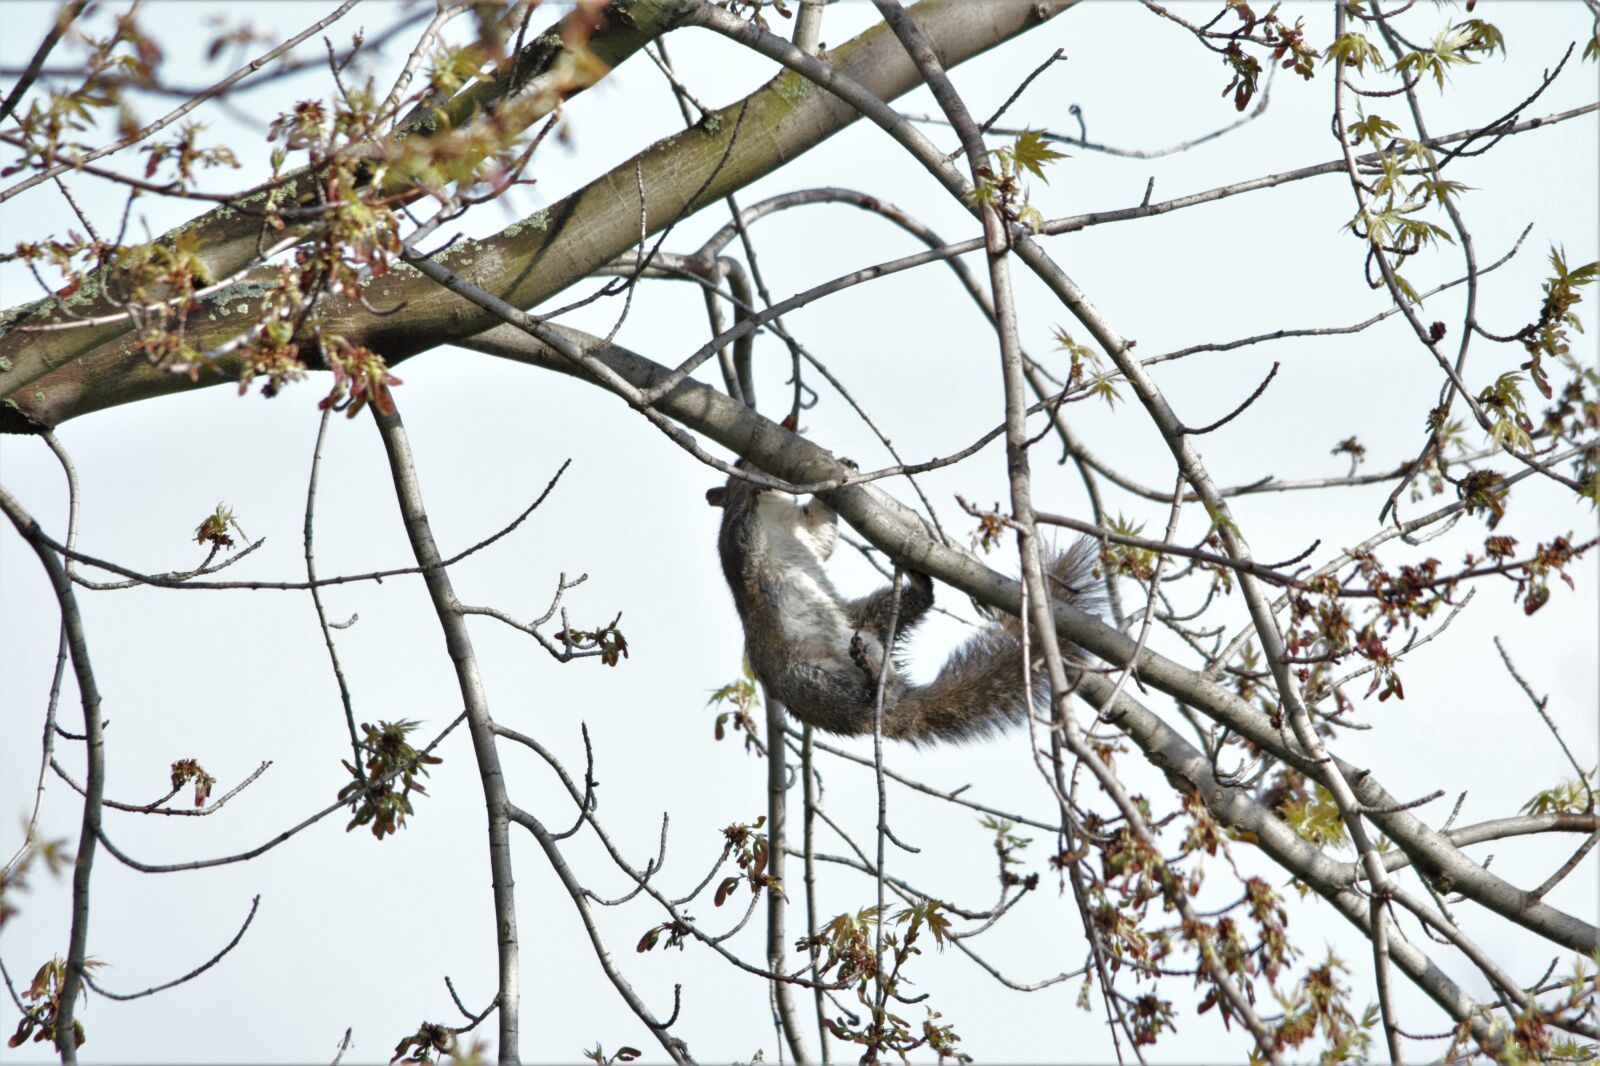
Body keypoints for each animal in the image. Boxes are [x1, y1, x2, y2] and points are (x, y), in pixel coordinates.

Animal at [707, 466, 1099, 744]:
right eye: (737, 465)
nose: (765, 475)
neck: (776, 517)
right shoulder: (738, 555)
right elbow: (743, 539)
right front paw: (747, 490)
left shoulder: (807, 534)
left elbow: (822, 531)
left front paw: (840, 472)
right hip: (811, 681)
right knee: (860, 697)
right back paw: (874, 679)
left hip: (871, 619)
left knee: (909, 615)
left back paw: (916, 587)